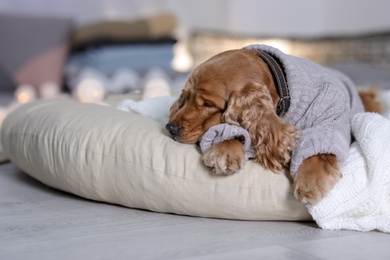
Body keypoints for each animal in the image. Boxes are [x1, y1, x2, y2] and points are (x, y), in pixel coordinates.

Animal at [165, 44, 380, 203]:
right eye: (185, 96)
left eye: (209, 104)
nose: (170, 127)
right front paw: (225, 150)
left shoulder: (329, 116)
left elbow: (319, 151)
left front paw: (310, 182)